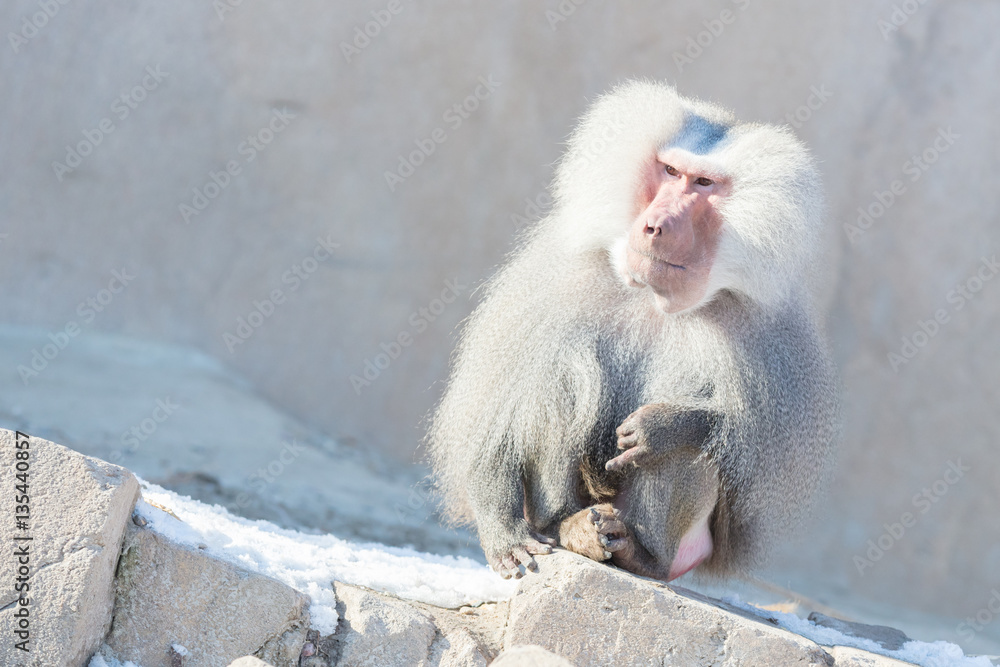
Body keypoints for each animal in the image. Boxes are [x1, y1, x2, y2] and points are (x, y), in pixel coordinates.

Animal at [427, 80, 838, 582]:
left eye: (703, 184)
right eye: (670, 170)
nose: (655, 226)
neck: (655, 300)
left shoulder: (772, 335)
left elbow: (747, 442)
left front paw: (657, 427)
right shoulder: (556, 281)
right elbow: (497, 415)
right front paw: (504, 533)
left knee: (701, 445)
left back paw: (640, 552)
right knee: (562, 381)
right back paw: (570, 527)